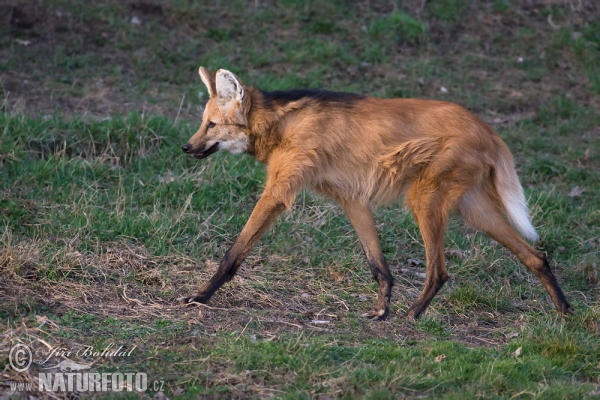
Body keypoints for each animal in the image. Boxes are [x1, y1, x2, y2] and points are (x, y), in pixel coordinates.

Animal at [179, 67, 572, 320]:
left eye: (211, 124)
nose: (186, 147)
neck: (281, 124)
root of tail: (488, 129)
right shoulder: (351, 198)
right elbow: (378, 264)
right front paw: (381, 309)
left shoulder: (279, 192)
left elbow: (234, 252)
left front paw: (200, 296)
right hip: (472, 208)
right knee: (535, 255)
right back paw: (565, 311)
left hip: (424, 199)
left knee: (439, 271)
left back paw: (413, 315)